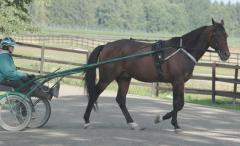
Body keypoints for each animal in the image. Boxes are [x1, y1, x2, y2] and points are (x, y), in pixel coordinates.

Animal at [83, 18, 231, 132]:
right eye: (217, 35)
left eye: (226, 35)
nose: (226, 55)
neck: (182, 51)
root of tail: (107, 45)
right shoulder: (177, 81)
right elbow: (178, 104)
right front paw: (162, 119)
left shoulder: (180, 82)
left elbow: (179, 103)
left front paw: (175, 124)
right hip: (107, 77)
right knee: (94, 94)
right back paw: (86, 120)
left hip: (124, 78)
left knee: (121, 100)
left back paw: (132, 124)